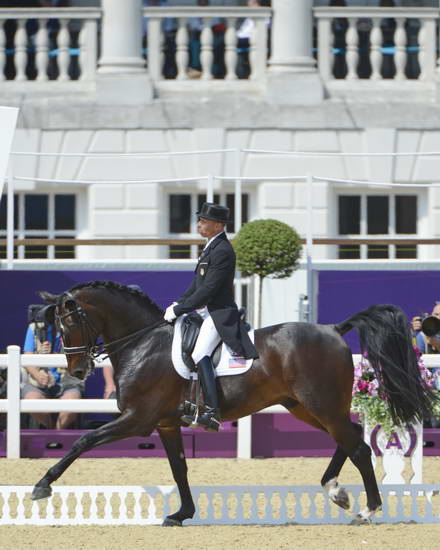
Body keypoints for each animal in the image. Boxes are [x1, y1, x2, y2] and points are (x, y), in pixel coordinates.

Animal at [31, 282, 436, 528]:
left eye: (68, 324)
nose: (77, 370)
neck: (143, 343)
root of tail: (334, 329)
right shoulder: (165, 423)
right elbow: (179, 469)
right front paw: (182, 513)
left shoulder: (137, 419)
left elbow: (84, 441)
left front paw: (42, 486)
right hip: (304, 406)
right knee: (349, 438)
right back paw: (335, 490)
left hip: (320, 404)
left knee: (358, 446)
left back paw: (367, 509)